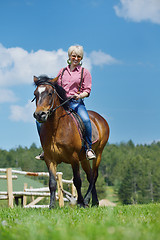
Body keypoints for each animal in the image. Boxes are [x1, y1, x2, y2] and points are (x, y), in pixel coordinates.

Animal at [32, 75, 110, 208]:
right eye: (35, 94)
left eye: (50, 93)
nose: (39, 115)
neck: (56, 128)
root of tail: (100, 118)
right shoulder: (49, 159)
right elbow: (52, 182)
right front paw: (51, 206)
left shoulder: (74, 158)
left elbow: (77, 181)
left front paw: (80, 203)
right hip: (83, 159)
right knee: (90, 176)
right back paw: (93, 202)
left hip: (98, 153)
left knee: (94, 176)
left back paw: (88, 200)